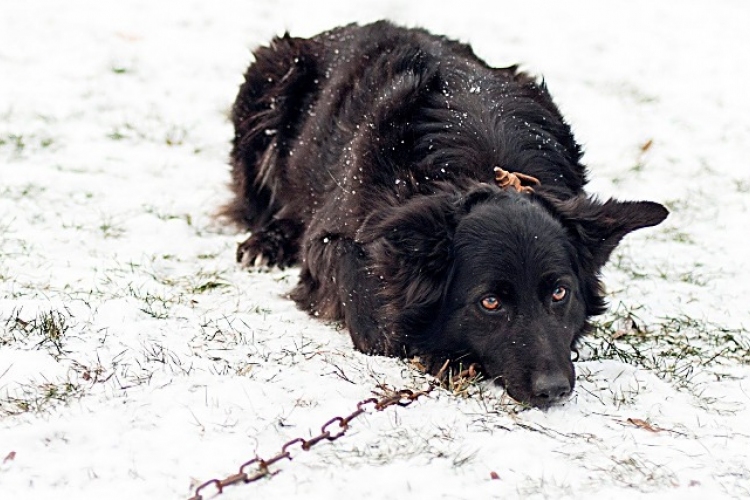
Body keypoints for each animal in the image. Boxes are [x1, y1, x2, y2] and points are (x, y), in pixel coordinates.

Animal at [223, 21, 668, 408]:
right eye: (490, 302)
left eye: (560, 293)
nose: (554, 390)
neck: (483, 164)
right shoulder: (330, 239)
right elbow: (375, 320)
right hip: (269, 83)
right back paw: (267, 241)